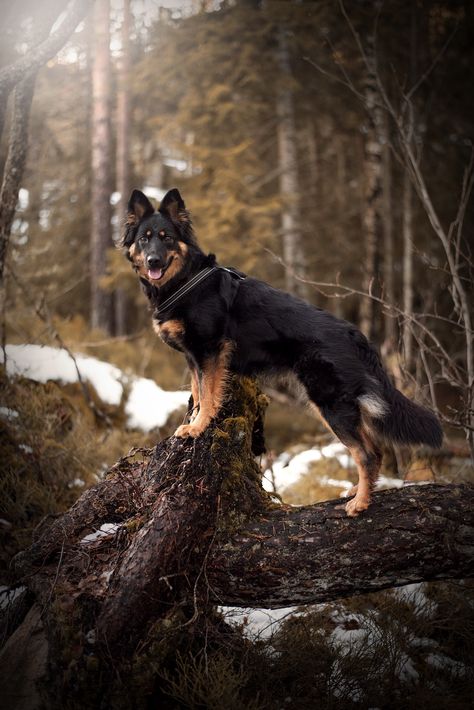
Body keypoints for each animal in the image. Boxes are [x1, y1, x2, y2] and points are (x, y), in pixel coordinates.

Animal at [120, 188, 442, 516]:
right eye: (145, 238)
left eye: (167, 238)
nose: (153, 259)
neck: (185, 281)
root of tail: (355, 335)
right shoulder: (193, 356)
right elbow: (198, 391)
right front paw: (193, 419)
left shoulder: (209, 351)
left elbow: (208, 395)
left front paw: (198, 426)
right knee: (375, 451)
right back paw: (360, 490)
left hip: (329, 402)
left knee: (365, 453)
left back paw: (361, 503)